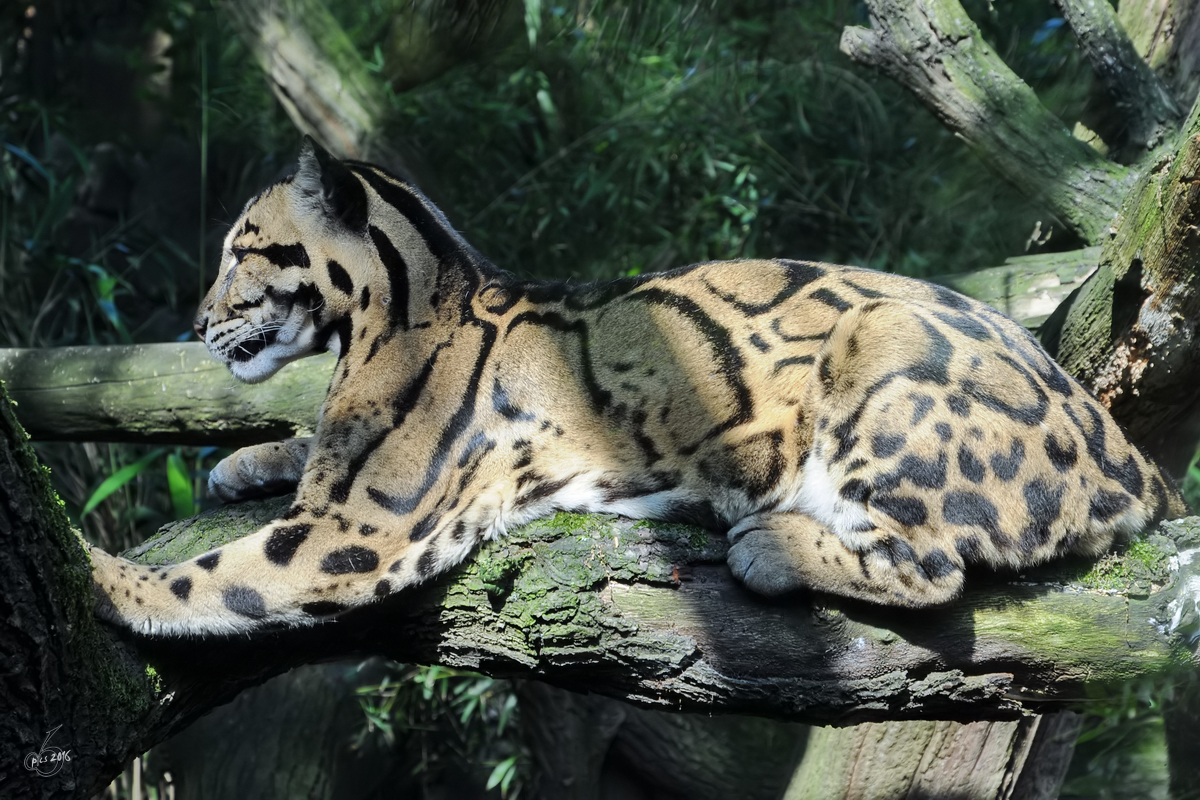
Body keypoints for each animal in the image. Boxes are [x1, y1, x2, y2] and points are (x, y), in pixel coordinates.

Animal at [91, 139, 1180, 638]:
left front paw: (96, 575)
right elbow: (300, 439)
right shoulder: (342, 487)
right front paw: (245, 457)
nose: (198, 322)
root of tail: (1134, 462)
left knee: (936, 566)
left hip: (885, 356)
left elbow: (209, 578)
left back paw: (772, 542)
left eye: (243, 249)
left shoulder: (364, 527)